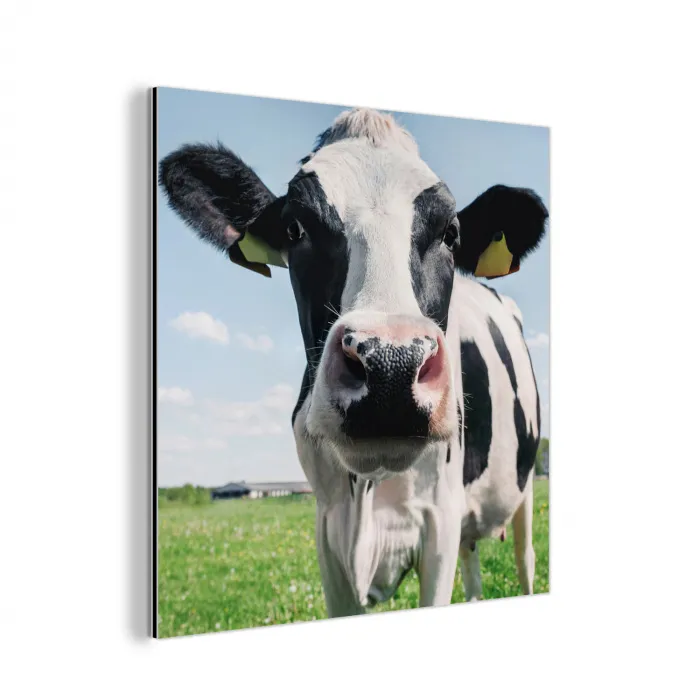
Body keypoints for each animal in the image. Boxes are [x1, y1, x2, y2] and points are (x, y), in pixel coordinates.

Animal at [159, 107, 548, 615]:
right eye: (295, 228)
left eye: (451, 233)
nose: (391, 367)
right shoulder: (329, 530)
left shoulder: (440, 519)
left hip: (523, 489)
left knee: (525, 558)